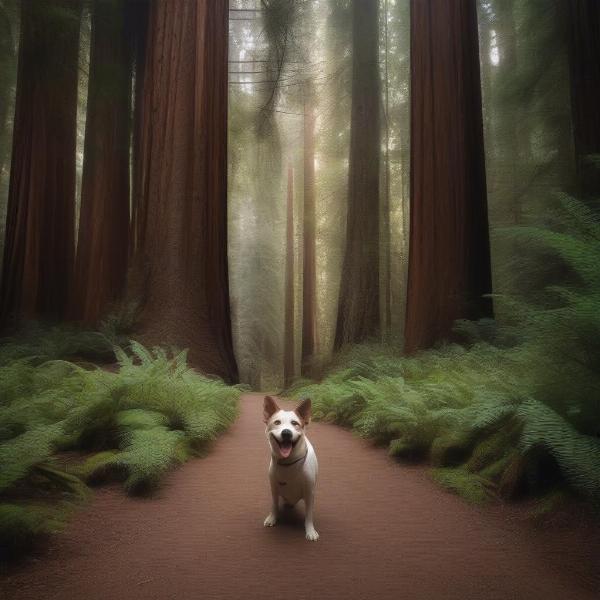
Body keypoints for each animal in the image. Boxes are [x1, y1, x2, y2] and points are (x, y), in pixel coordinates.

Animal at [262, 396, 318, 540]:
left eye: (295, 423)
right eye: (277, 422)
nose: (286, 433)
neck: (288, 463)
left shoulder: (309, 492)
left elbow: (309, 514)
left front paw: (310, 530)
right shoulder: (274, 489)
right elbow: (274, 505)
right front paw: (272, 517)